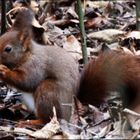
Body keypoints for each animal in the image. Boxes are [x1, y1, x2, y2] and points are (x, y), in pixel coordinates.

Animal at [0, 8, 140, 123]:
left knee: (49, 119)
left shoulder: (36, 65)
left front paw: (3, 71)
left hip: (48, 92)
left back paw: (31, 122)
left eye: (8, 49)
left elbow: (27, 81)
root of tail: (76, 105)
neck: (28, 55)